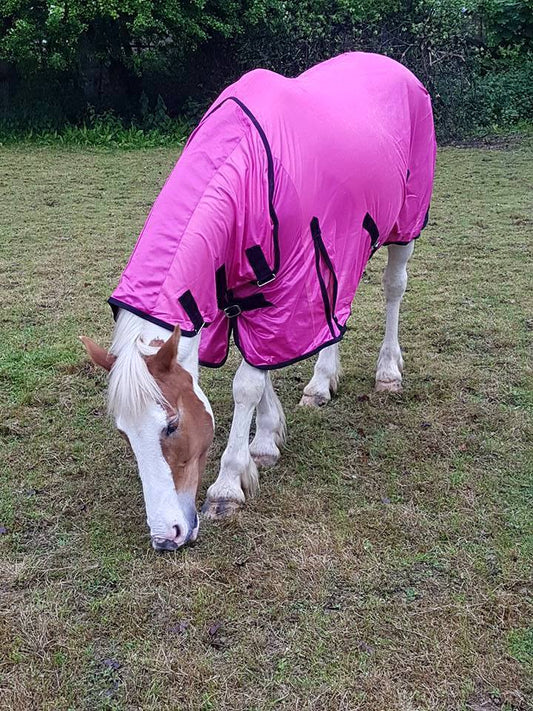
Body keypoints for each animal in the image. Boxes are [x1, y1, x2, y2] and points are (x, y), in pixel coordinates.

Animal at [81, 52, 436, 551]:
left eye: (171, 425)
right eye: (122, 433)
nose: (167, 537)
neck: (244, 171)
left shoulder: (285, 293)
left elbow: (247, 383)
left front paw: (229, 484)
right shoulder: (235, 300)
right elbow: (260, 367)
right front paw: (266, 441)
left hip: (404, 223)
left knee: (393, 288)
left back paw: (387, 372)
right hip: (337, 252)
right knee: (335, 315)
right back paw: (320, 383)